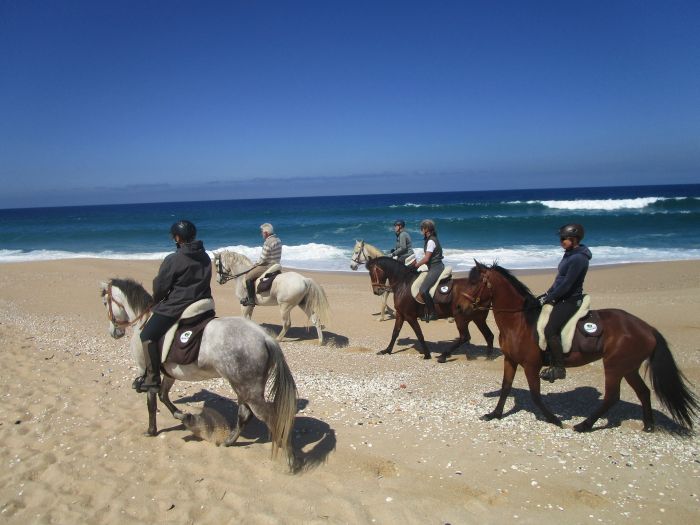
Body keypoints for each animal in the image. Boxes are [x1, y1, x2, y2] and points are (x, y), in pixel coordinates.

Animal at [98, 278, 296, 466]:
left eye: (105, 302)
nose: (114, 332)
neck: (143, 322)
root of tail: (264, 337)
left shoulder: (146, 371)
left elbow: (151, 403)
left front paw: (151, 430)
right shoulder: (169, 374)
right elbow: (163, 396)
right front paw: (183, 416)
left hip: (249, 391)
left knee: (271, 418)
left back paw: (288, 457)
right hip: (243, 388)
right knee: (244, 415)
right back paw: (229, 442)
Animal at [364, 256, 494, 360]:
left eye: (371, 273)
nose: (376, 291)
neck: (403, 284)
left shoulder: (410, 316)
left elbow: (419, 334)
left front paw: (427, 354)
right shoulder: (401, 314)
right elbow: (395, 333)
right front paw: (387, 350)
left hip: (461, 318)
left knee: (465, 337)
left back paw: (444, 356)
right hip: (478, 318)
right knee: (488, 335)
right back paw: (488, 356)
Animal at [462, 260, 696, 432]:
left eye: (474, 283)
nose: (461, 308)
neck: (519, 321)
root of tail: (647, 327)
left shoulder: (531, 365)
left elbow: (535, 395)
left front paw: (554, 420)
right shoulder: (511, 360)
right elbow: (505, 388)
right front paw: (494, 414)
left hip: (614, 366)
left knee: (612, 397)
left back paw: (584, 425)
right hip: (628, 367)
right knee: (643, 392)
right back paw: (648, 425)